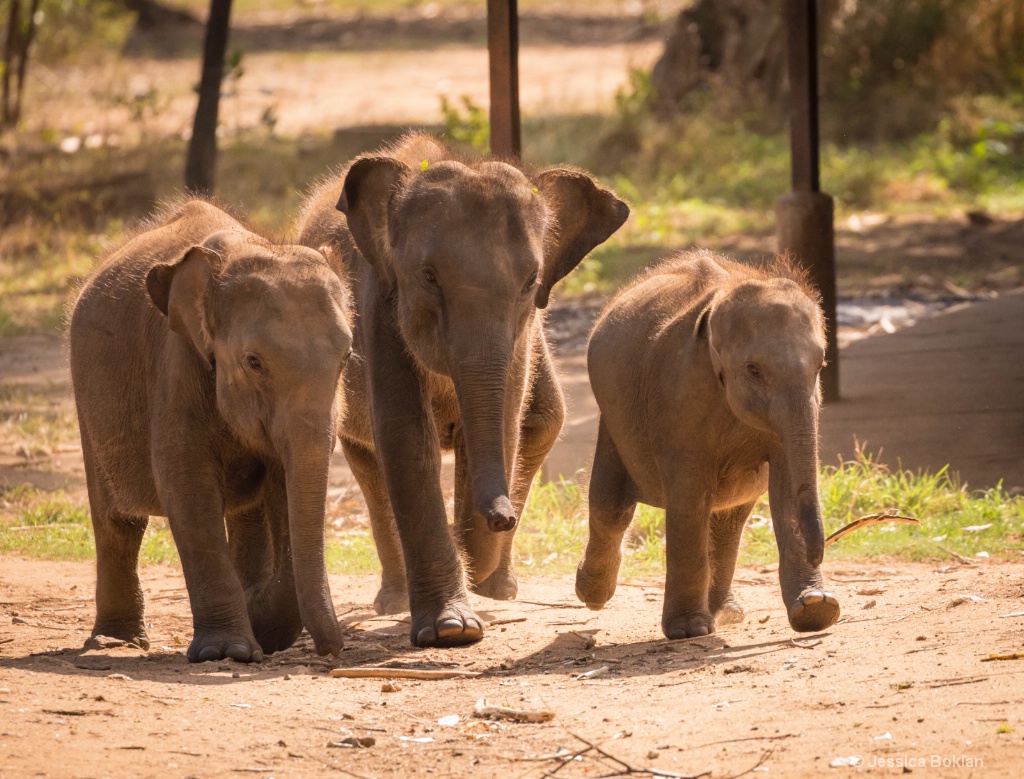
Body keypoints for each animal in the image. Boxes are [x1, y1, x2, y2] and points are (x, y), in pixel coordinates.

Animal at [71, 200, 352, 663]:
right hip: (89, 403)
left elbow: (282, 487)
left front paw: (258, 625)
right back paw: (115, 642)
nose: (333, 651)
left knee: (246, 512)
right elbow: (187, 486)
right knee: (117, 522)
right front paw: (227, 651)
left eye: (346, 357)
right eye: (253, 362)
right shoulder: (177, 367)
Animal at [296, 134, 626, 642]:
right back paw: (397, 600)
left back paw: (497, 589)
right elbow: (407, 438)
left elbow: (510, 421)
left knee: (541, 422)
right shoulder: (378, 304)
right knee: (367, 456)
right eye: (429, 277)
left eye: (531, 281)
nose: (504, 517)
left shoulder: (524, 333)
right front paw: (452, 630)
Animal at [573, 250, 843, 638]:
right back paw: (593, 594)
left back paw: (725, 612)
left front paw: (817, 609)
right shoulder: (679, 393)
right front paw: (688, 631)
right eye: (753, 370)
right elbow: (689, 493)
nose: (819, 552)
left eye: (821, 365)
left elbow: (788, 481)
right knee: (611, 503)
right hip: (613, 416)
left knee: (729, 519)